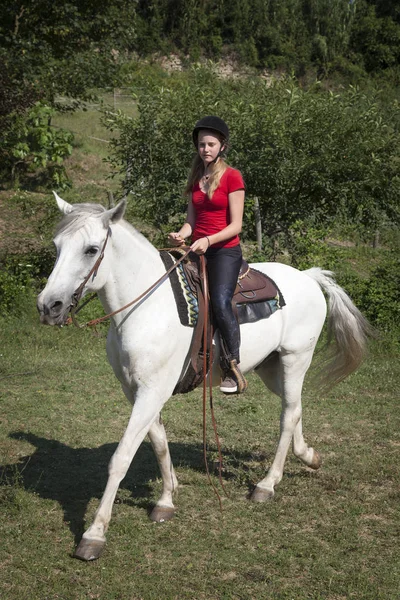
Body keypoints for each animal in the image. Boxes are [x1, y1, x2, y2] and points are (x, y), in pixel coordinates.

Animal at [37, 195, 372, 560]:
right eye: (56, 246)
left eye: (91, 249)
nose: (49, 306)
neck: (145, 307)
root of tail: (309, 277)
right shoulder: (136, 390)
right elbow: (158, 442)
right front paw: (167, 498)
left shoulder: (151, 392)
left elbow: (122, 458)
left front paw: (94, 534)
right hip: (272, 368)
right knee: (294, 408)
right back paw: (308, 456)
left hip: (295, 359)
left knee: (288, 415)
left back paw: (267, 484)